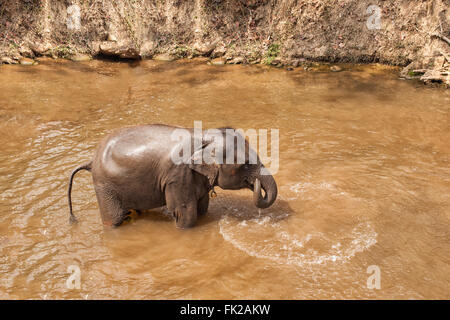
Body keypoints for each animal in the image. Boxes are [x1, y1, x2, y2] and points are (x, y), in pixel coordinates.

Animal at [67, 123, 278, 228]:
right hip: (104, 185)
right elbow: (186, 212)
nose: (256, 184)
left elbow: (202, 207)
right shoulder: (177, 175)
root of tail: (91, 161)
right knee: (115, 218)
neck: (203, 136)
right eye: (246, 165)